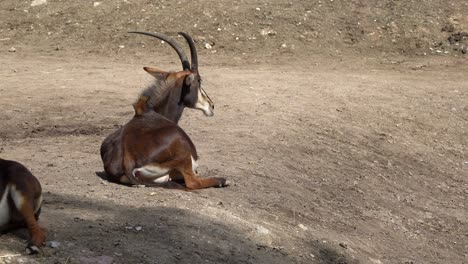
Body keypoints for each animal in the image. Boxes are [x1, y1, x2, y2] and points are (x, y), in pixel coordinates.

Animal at [100, 32, 227, 190]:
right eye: (199, 80)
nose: (211, 106)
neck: (149, 111)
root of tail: (127, 159)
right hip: (184, 154)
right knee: (192, 182)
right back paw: (221, 180)